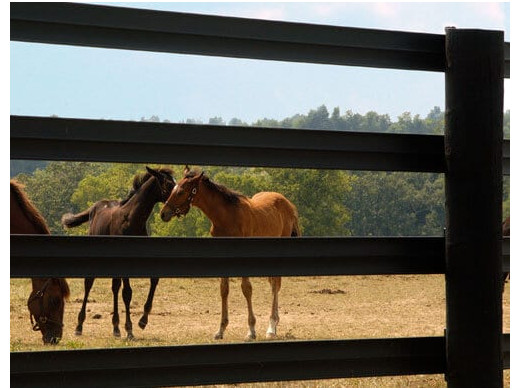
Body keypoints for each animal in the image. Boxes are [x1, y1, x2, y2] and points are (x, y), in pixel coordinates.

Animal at [159, 166, 300, 340]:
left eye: (181, 192)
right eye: (173, 189)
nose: (163, 213)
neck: (226, 217)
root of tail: (288, 204)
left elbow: (246, 288)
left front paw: (251, 330)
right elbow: (224, 289)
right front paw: (221, 330)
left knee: (275, 284)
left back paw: (271, 327)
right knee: (274, 283)